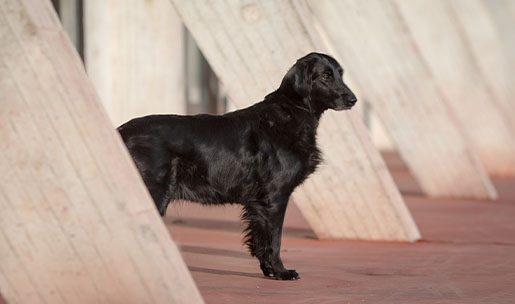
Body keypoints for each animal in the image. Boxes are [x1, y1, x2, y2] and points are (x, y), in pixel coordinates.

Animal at [118, 52, 356, 280]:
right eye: (325, 76)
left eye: (340, 74)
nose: (353, 99)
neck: (290, 114)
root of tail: (121, 130)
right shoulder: (274, 197)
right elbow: (274, 240)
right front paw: (282, 272)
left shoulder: (258, 203)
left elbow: (261, 240)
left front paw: (269, 270)